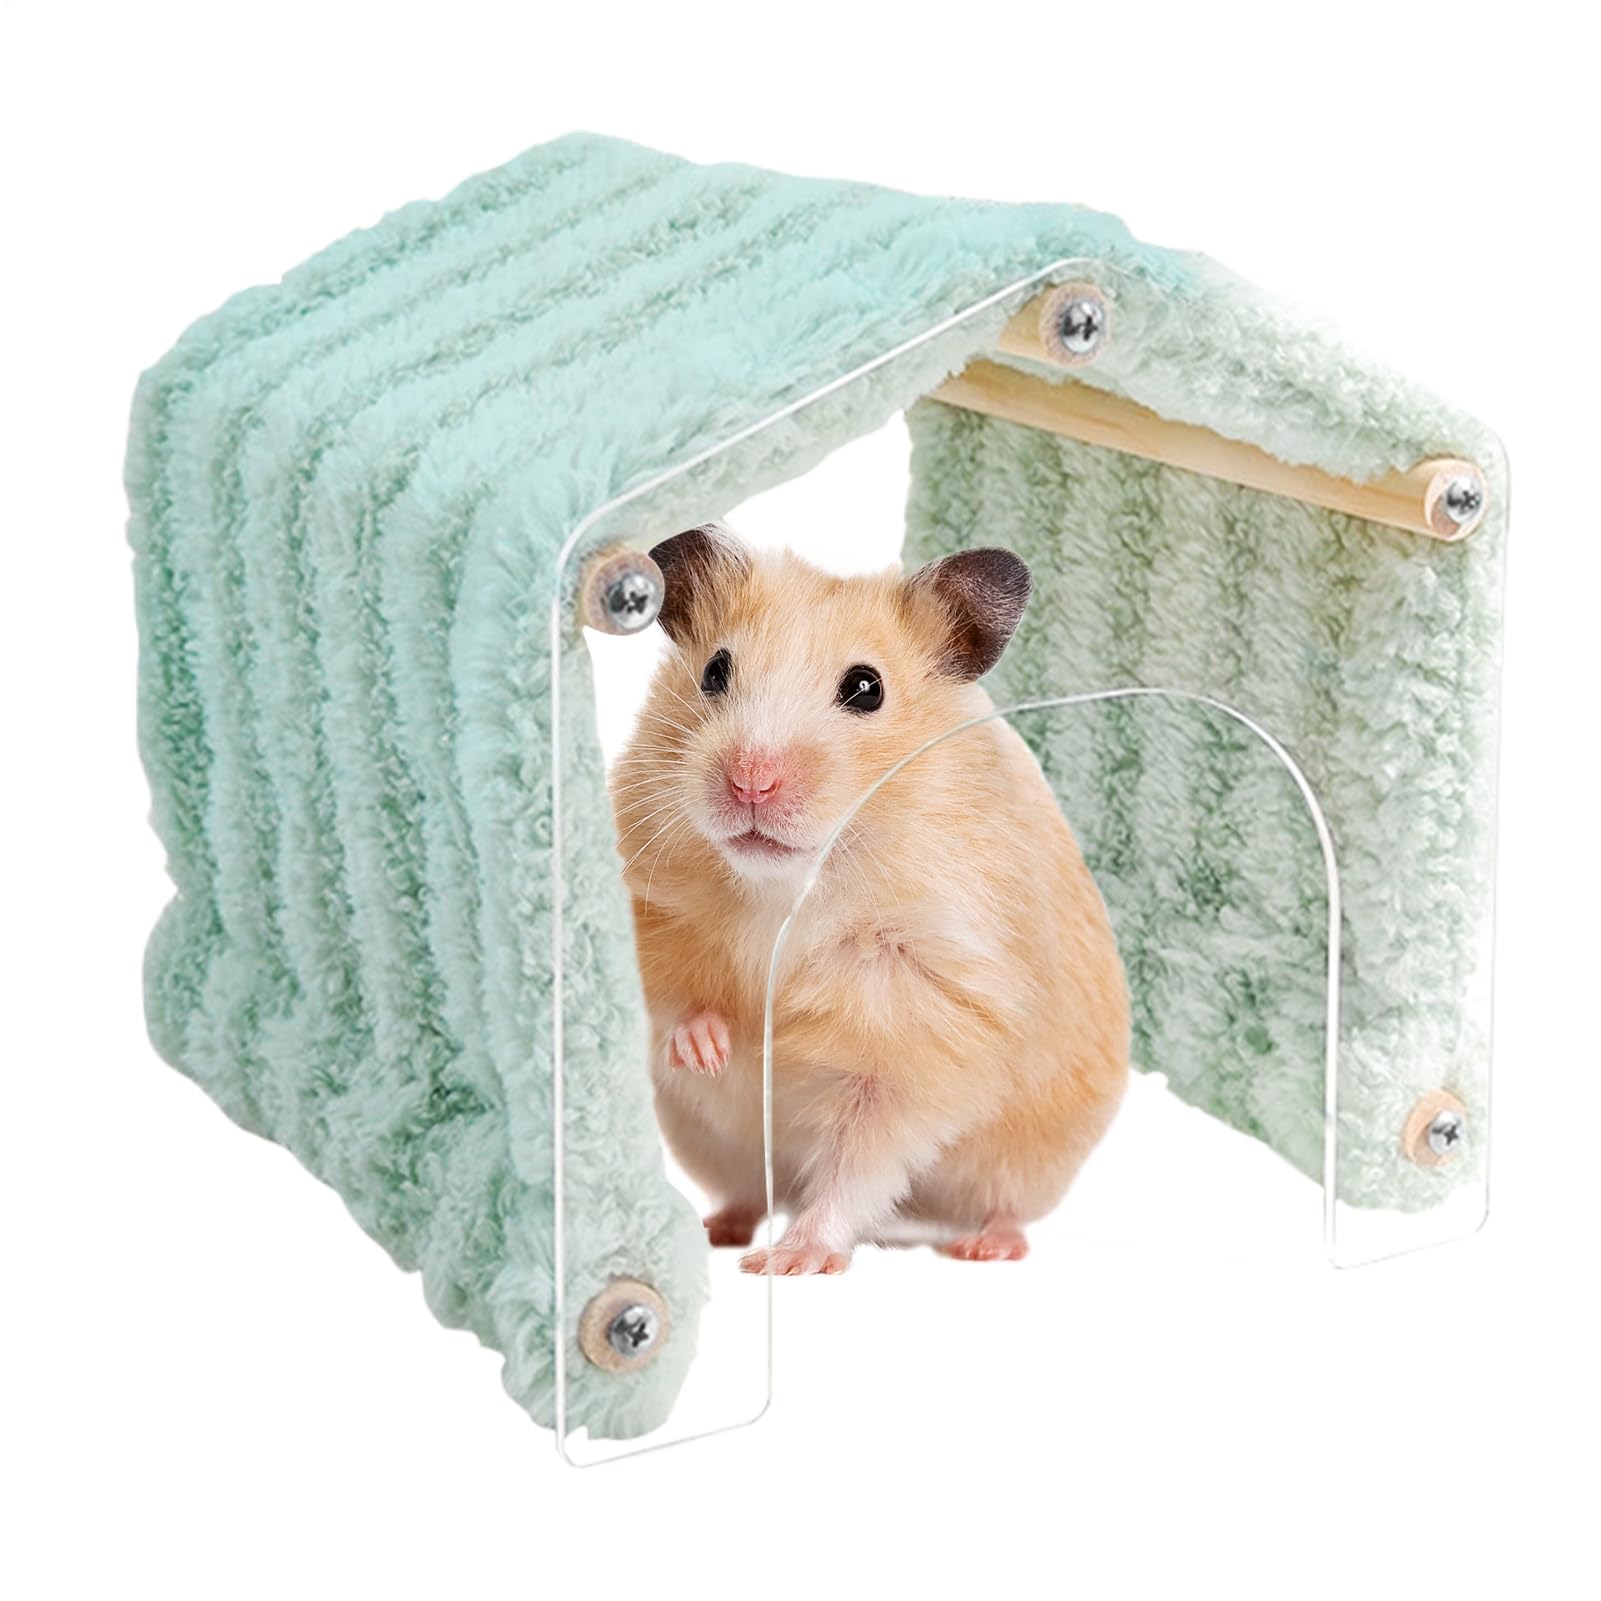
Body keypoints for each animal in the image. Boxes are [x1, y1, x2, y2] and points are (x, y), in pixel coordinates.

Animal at [608, 524, 1129, 1274]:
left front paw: (791, 1262)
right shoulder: (652, 906)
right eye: (713, 671)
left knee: (1000, 1204)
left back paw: (984, 1247)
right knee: (749, 1192)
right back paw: (718, 1230)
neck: (787, 888)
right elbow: (677, 996)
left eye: (865, 688)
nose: (749, 782)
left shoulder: (921, 1033)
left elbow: (859, 1161)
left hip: (1032, 1157)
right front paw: (709, 1048)